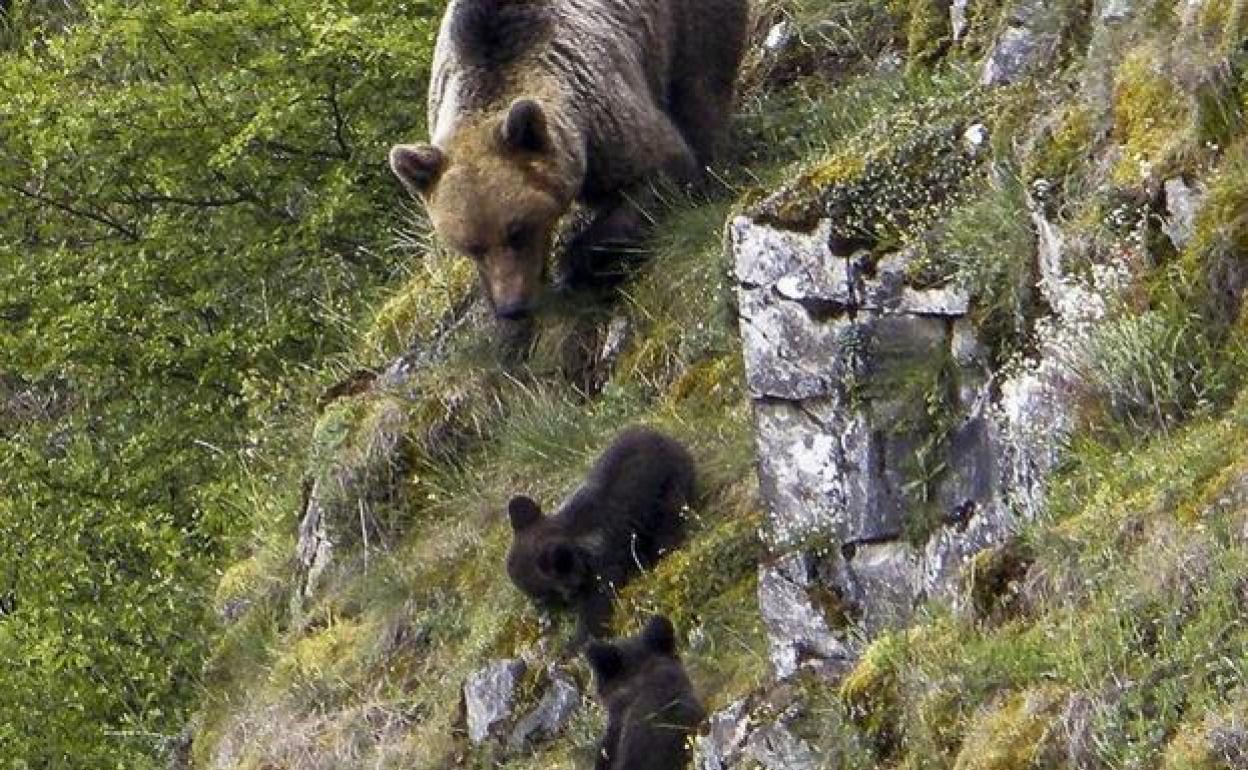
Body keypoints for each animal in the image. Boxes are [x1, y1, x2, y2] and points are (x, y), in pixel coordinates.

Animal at [384, 0, 743, 318]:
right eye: (470, 246)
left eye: (517, 231)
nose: (511, 308)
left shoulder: (601, 114)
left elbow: (662, 169)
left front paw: (573, 265)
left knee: (701, 81)